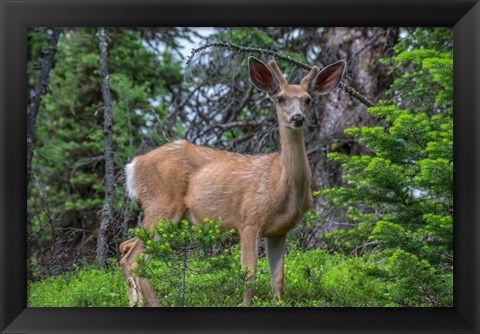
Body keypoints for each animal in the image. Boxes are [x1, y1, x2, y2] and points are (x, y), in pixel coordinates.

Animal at [119, 56, 344, 306]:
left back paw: (137, 301)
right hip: (162, 206)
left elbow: (278, 280)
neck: (281, 183)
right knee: (133, 258)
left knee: (126, 247)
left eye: (307, 99)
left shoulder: (279, 231)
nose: (297, 118)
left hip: (168, 216)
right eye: (280, 98)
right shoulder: (249, 219)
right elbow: (249, 275)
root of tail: (134, 165)